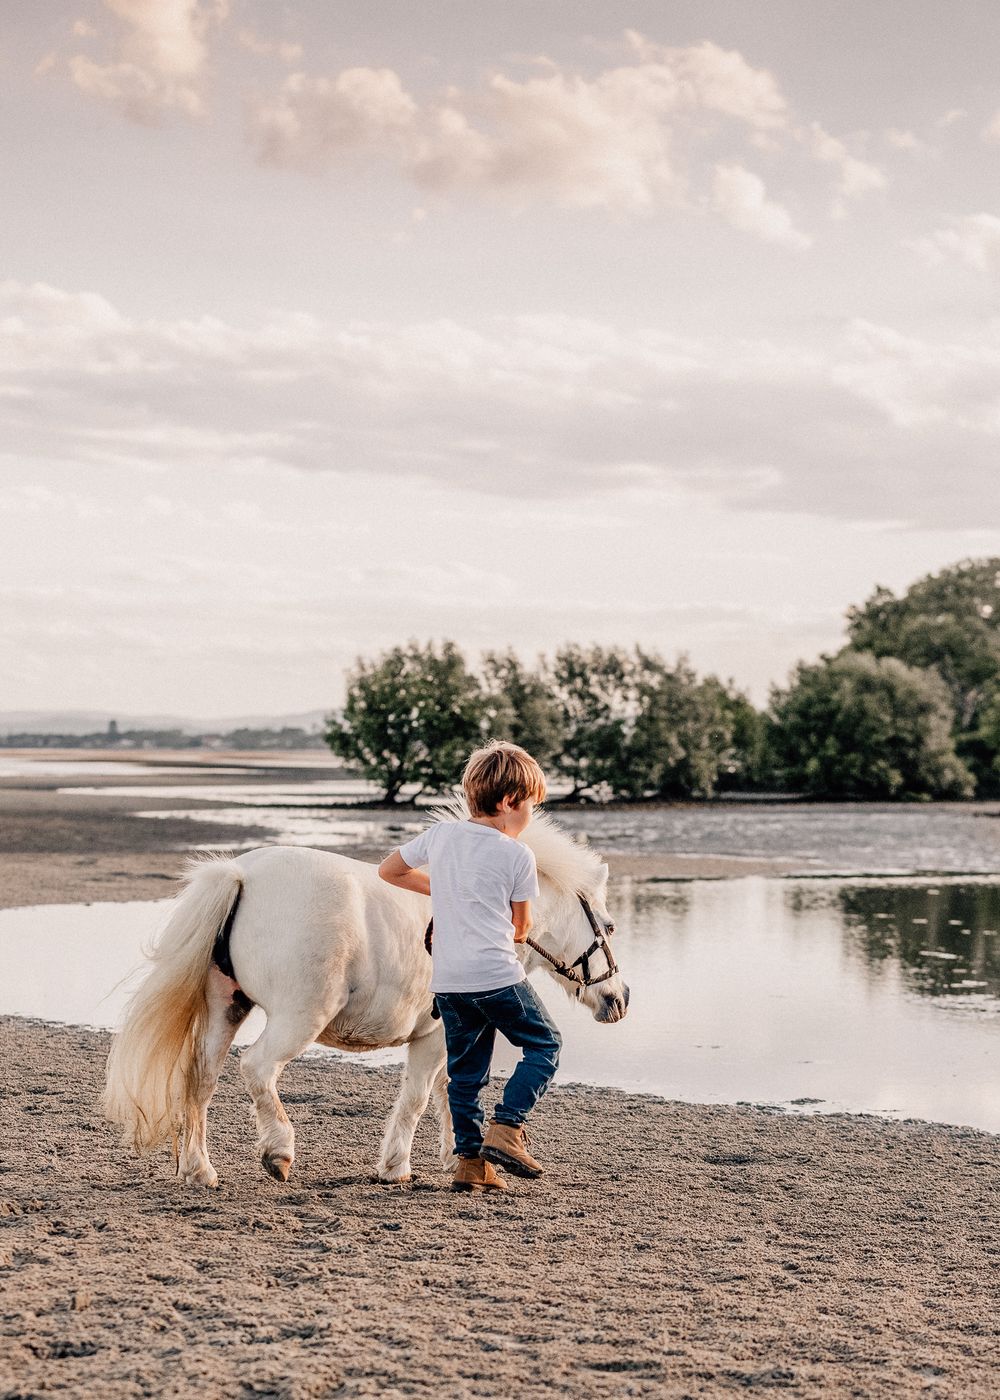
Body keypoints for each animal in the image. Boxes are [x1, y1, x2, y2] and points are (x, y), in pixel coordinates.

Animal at [102, 799, 629, 1188]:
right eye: (608, 925)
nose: (619, 999)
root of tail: (242, 875)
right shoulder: (434, 1037)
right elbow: (420, 1097)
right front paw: (397, 1167)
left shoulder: (456, 1039)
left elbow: (453, 1092)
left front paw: (461, 1158)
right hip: (297, 1019)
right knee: (257, 1068)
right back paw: (278, 1151)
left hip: (225, 1007)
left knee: (201, 1080)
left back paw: (199, 1170)